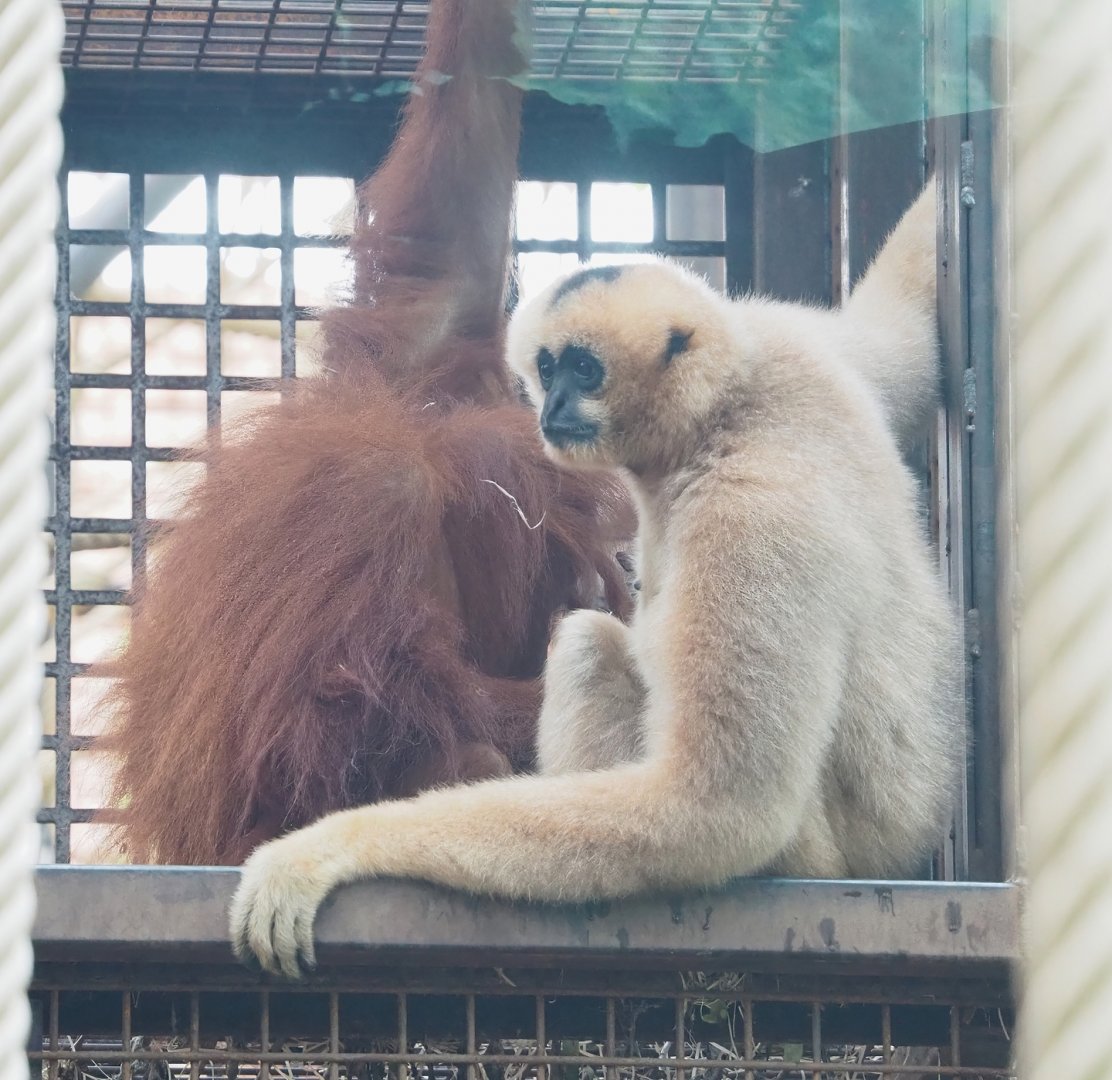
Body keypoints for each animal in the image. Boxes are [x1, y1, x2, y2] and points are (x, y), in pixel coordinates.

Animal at [97, 0, 633, 865]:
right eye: (563, 579)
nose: (594, 592)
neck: (433, 492)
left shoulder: (407, 377)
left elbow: (450, 259)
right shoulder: (376, 503)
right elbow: (325, 720)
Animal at [230, 182, 963, 980]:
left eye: (584, 371)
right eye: (549, 367)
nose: (550, 407)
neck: (728, 408)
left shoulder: (750, 526)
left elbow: (718, 811)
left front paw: (330, 846)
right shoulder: (793, 343)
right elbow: (902, 333)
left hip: (811, 862)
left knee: (586, 645)